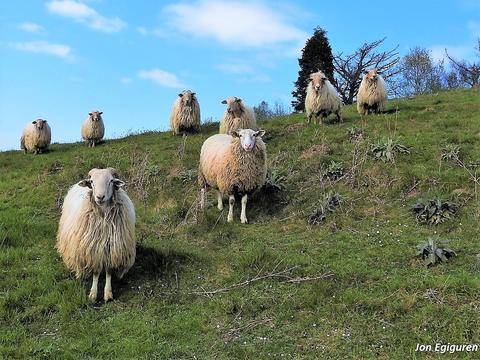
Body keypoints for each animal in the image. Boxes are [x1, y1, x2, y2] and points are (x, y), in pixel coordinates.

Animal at [55, 168, 135, 300]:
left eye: (111, 181)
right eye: (92, 181)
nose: (100, 197)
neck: (103, 215)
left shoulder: (110, 249)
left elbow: (108, 271)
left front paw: (108, 293)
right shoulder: (92, 248)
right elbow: (96, 272)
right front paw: (93, 293)